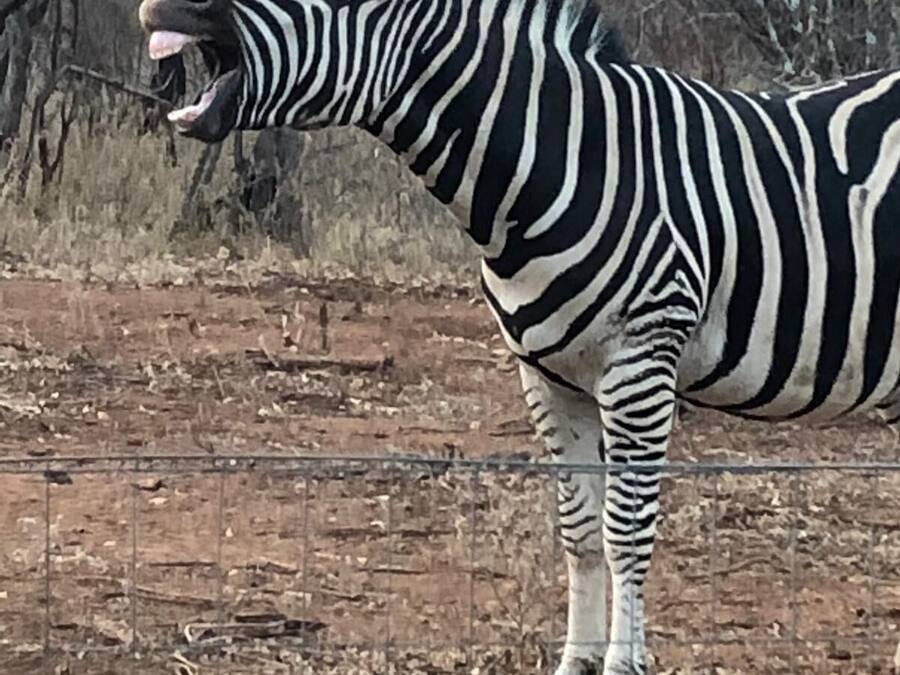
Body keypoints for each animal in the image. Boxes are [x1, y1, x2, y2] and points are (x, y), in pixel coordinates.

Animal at [138, 0, 900, 672]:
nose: (158, 8)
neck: (555, 164)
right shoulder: (548, 374)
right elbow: (579, 531)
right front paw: (578, 661)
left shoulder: (641, 362)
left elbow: (626, 533)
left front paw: (623, 666)